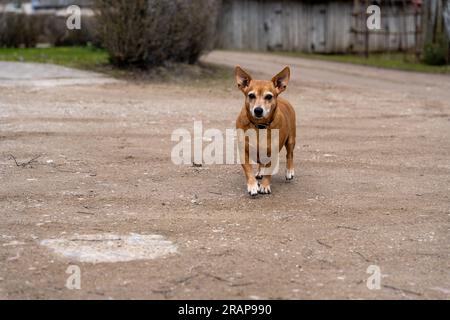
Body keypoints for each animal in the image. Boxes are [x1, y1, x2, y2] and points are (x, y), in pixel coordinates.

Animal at [236, 65, 296, 195]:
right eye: (251, 95)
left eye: (269, 96)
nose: (258, 110)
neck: (259, 126)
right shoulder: (244, 151)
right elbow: (248, 169)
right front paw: (252, 185)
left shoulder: (273, 153)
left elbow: (269, 170)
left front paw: (264, 185)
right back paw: (260, 172)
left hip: (291, 140)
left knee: (289, 154)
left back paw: (289, 171)